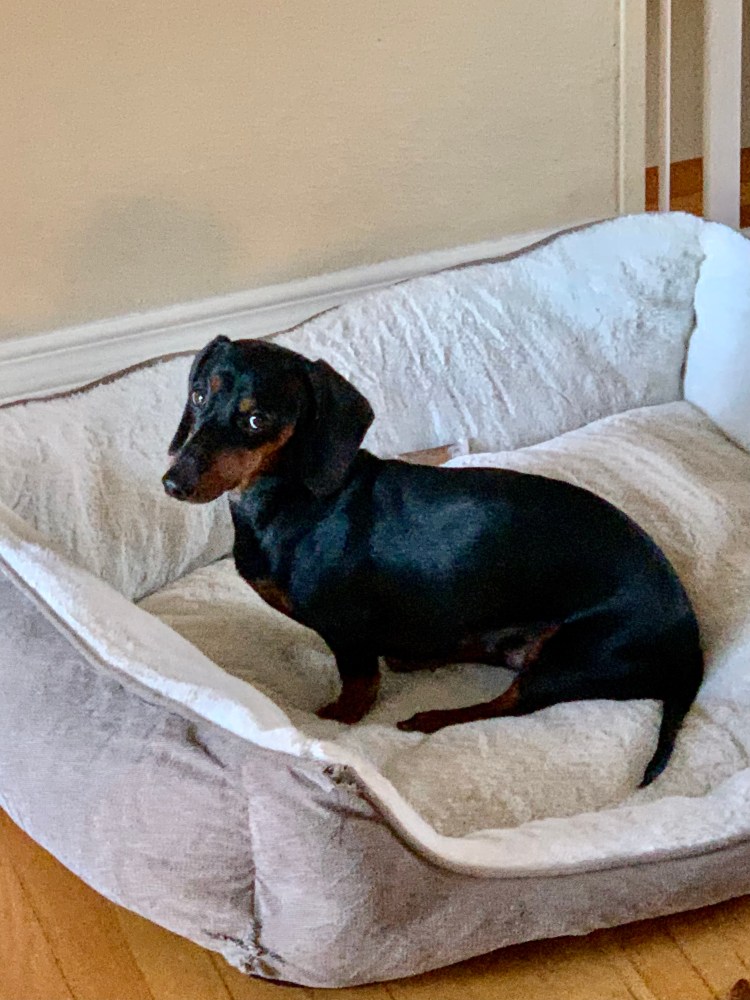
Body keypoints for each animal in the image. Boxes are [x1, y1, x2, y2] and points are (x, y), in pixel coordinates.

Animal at [163, 335, 703, 786]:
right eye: (199, 396)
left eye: (256, 420)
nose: (173, 483)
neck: (294, 500)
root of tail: (690, 638)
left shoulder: (348, 633)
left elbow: (357, 691)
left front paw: (334, 720)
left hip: (572, 660)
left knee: (507, 705)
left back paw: (431, 717)